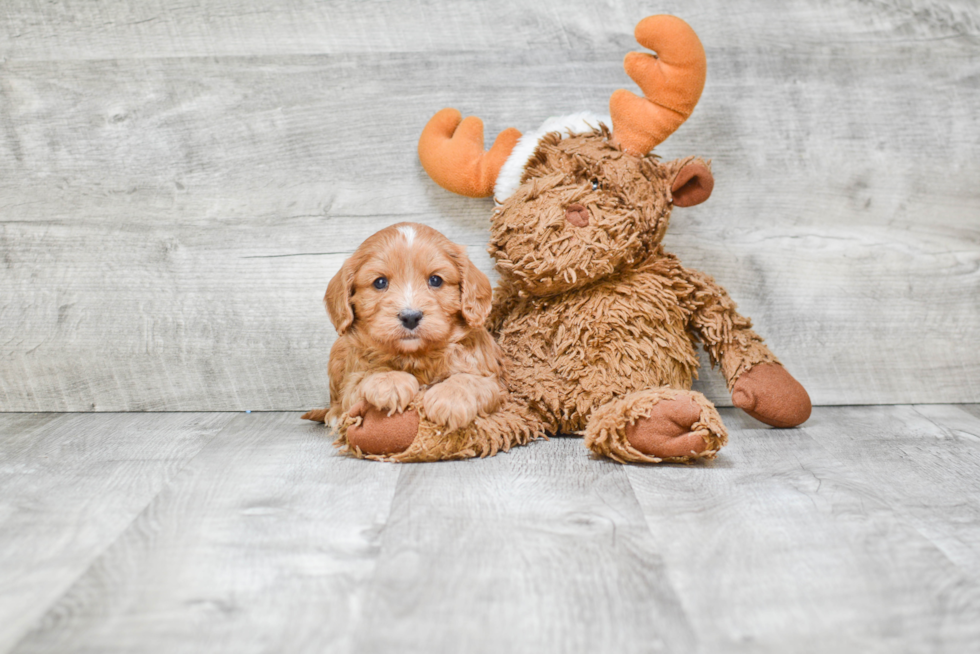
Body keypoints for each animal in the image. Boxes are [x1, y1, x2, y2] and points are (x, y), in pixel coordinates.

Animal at [304, 223, 506, 454]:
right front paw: (390, 382)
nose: (410, 316)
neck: (416, 355)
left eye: (435, 280)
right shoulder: (352, 382)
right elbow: (367, 374)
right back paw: (335, 415)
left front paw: (451, 399)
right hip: (337, 350)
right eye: (380, 282)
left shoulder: (495, 382)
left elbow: (471, 379)